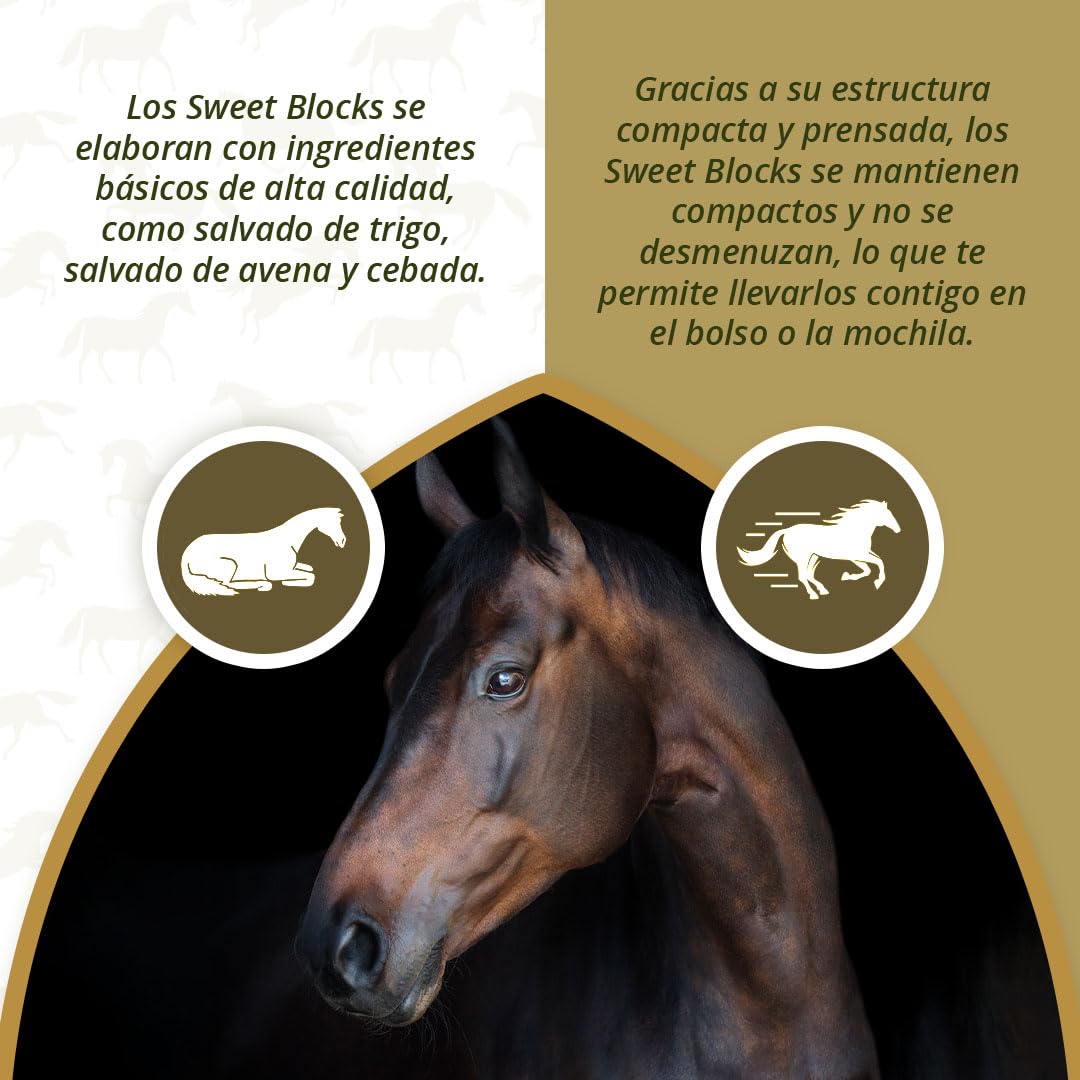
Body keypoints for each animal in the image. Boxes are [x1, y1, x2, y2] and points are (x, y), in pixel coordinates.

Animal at [181, 508, 346, 597]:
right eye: (334, 522)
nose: (343, 541)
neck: (287, 540)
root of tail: (186, 555)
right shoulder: (278, 573)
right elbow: (311, 577)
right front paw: (287, 583)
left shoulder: (291, 567)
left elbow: (309, 570)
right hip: (229, 565)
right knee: (228, 584)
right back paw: (262, 584)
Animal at [738, 500, 901, 600]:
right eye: (887, 514)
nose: (898, 530)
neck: (855, 531)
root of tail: (787, 530)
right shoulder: (857, 555)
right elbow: (879, 563)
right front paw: (878, 582)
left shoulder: (855, 557)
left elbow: (870, 567)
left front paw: (846, 576)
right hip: (802, 558)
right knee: (803, 576)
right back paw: (814, 595)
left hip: (813, 556)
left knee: (809, 575)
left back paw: (823, 590)